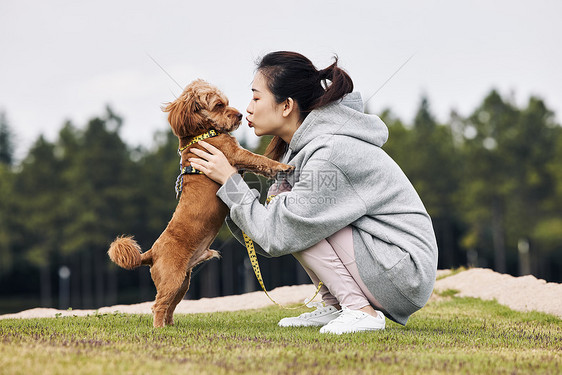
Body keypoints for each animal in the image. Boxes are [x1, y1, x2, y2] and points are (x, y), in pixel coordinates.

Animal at [107, 80, 296, 328]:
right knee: (158, 305)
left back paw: (170, 327)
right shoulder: (234, 154)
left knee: (170, 306)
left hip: (183, 283)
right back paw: (159, 329)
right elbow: (259, 159)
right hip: (172, 279)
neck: (201, 134)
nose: (239, 115)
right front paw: (283, 166)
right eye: (218, 105)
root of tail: (150, 254)